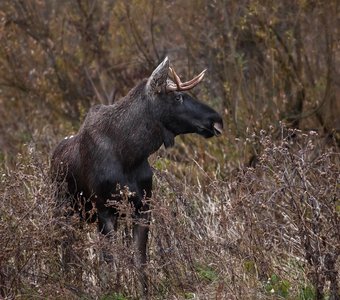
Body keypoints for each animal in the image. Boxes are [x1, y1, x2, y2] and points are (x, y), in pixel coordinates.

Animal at [50, 56, 223, 292]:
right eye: (178, 97)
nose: (216, 118)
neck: (130, 154)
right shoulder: (105, 209)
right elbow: (111, 261)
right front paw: (114, 290)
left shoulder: (143, 207)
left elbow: (140, 260)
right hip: (63, 211)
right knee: (67, 250)